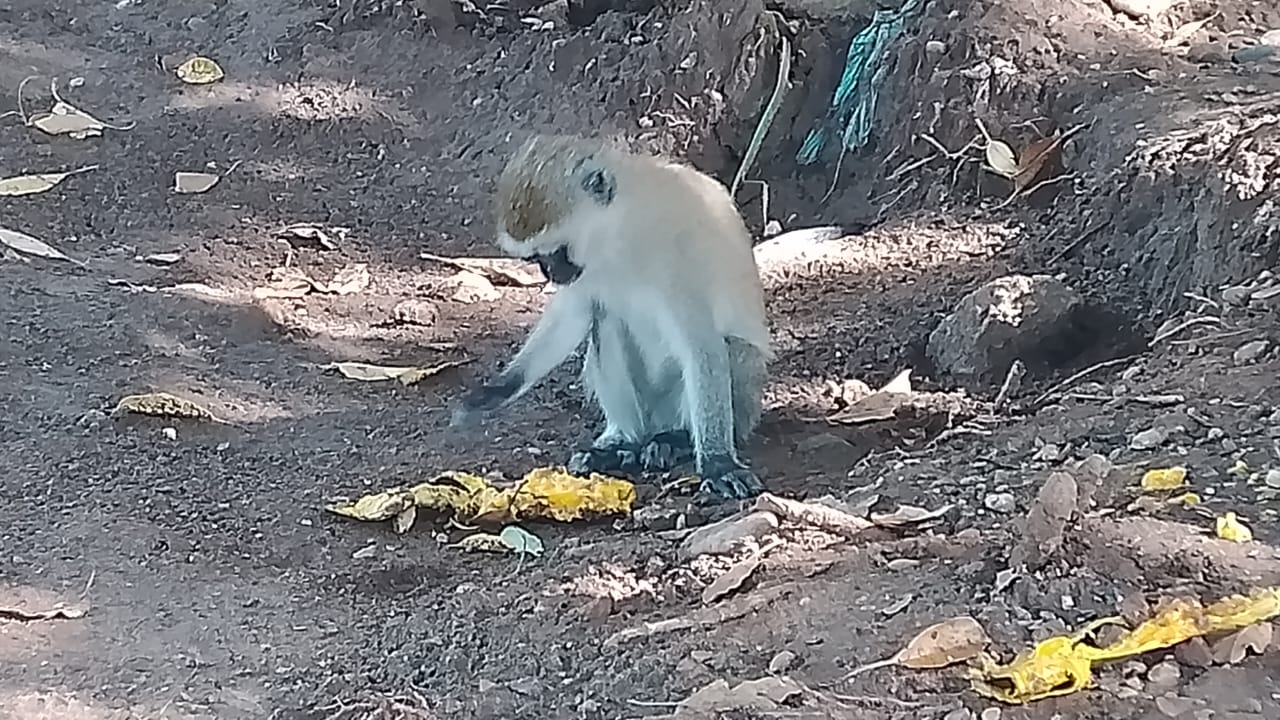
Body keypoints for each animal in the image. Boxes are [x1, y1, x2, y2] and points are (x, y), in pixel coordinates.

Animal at [449, 134, 772, 500]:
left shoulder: (677, 257)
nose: (549, 273)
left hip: (727, 402)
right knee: (606, 322)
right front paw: (497, 390)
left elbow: (701, 345)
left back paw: (675, 439)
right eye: (534, 258)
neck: (618, 235)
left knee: (732, 349)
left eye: (556, 252)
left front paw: (719, 462)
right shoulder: (587, 273)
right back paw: (626, 443)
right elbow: (575, 314)